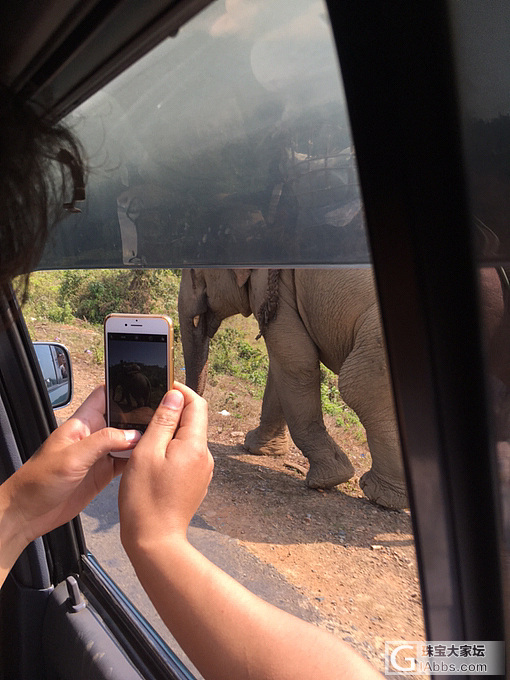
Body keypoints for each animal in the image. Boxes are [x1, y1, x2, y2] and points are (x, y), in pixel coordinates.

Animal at [179, 268, 406, 508]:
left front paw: (328, 479)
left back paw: (381, 495)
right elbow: (281, 368)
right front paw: (258, 448)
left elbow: (297, 364)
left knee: (357, 387)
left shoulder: (272, 286)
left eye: (194, 272)